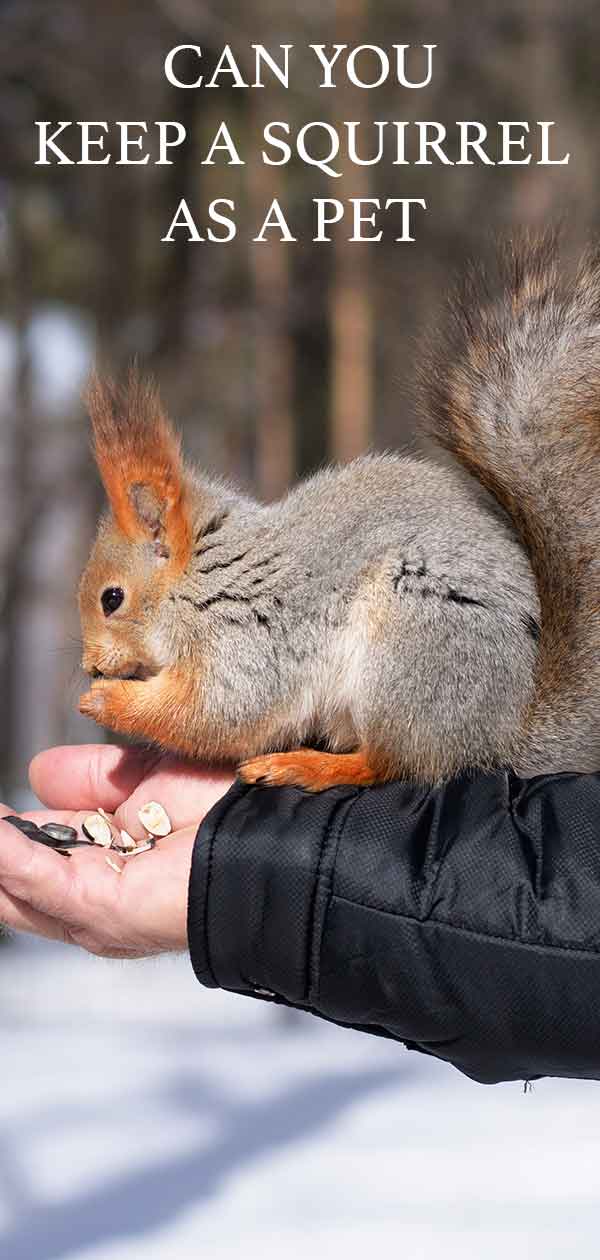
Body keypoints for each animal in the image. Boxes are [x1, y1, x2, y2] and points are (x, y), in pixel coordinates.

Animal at [77, 234, 600, 786]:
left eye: (112, 598)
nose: (90, 666)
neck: (200, 575)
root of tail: (500, 735)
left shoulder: (247, 638)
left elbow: (216, 709)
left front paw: (107, 701)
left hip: (414, 647)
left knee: (388, 762)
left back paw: (304, 765)